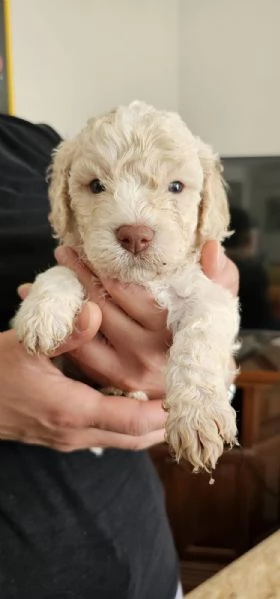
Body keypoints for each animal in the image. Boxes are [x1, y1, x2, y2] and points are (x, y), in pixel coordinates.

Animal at [14, 102, 240, 474]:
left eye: (176, 187)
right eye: (95, 186)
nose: (135, 235)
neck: (143, 280)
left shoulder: (210, 295)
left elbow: (200, 339)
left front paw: (198, 415)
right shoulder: (82, 261)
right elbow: (61, 271)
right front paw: (42, 314)